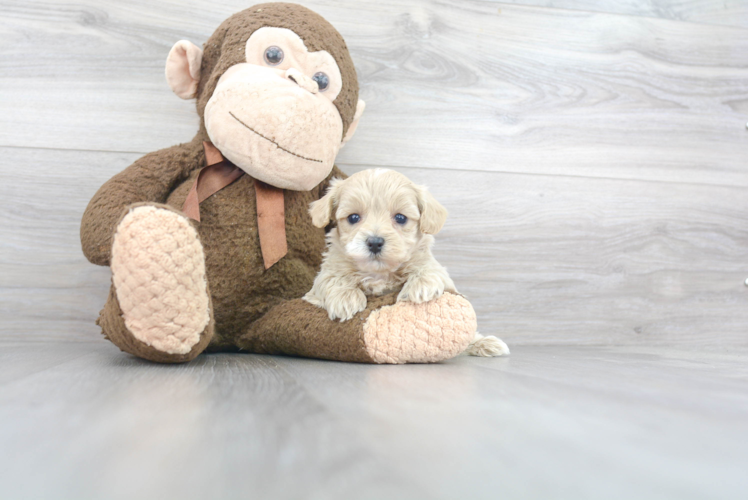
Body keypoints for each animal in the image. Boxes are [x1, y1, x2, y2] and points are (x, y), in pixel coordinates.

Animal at [302, 170, 508, 358]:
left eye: (400, 218)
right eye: (353, 217)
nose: (374, 242)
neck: (380, 273)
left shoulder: (438, 270)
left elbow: (430, 270)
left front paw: (419, 287)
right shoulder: (319, 281)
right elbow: (332, 278)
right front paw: (346, 298)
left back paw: (486, 343)